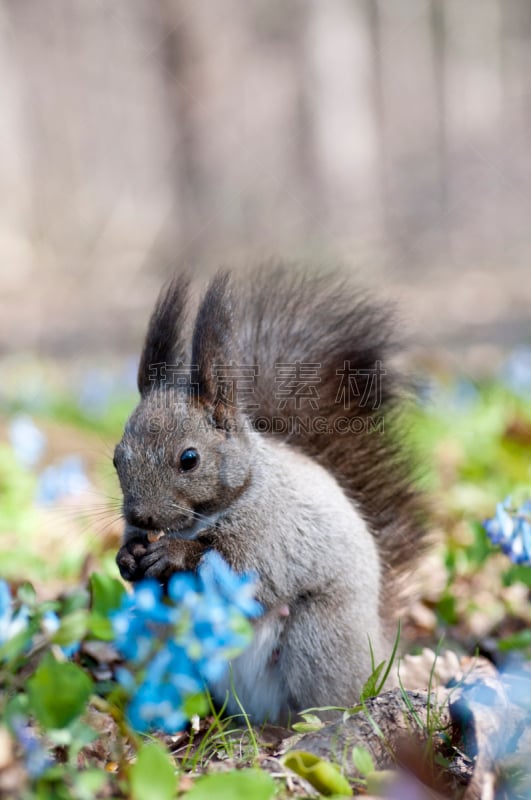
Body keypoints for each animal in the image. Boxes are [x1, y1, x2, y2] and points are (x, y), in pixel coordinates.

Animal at [114, 268, 426, 724]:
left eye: (189, 458)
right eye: (117, 458)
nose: (142, 517)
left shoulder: (274, 532)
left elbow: (243, 568)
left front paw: (171, 554)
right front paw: (128, 558)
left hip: (318, 637)